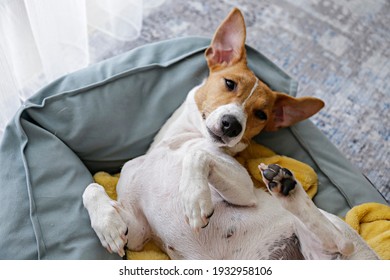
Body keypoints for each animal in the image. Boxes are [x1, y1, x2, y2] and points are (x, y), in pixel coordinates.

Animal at [82, 7, 378, 260]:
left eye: (261, 114)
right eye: (229, 83)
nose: (231, 125)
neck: (174, 145)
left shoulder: (244, 190)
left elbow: (198, 155)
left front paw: (194, 196)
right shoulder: (137, 233)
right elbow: (92, 187)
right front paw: (107, 225)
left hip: (327, 232)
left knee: (339, 240)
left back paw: (286, 188)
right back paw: (284, 186)